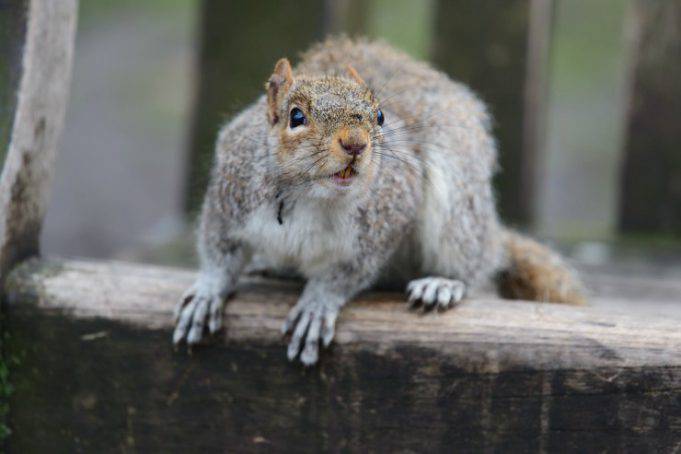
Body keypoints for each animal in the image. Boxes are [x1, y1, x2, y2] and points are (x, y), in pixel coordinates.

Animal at [172, 37, 586, 365]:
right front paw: (209, 291)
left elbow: (346, 273)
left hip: (458, 205)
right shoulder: (230, 194)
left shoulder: (386, 215)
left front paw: (318, 303)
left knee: (472, 259)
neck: (311, 196)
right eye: (296, 117)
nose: (356, 143)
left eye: (381, 116)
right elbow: (219, 251)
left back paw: (444, 283)